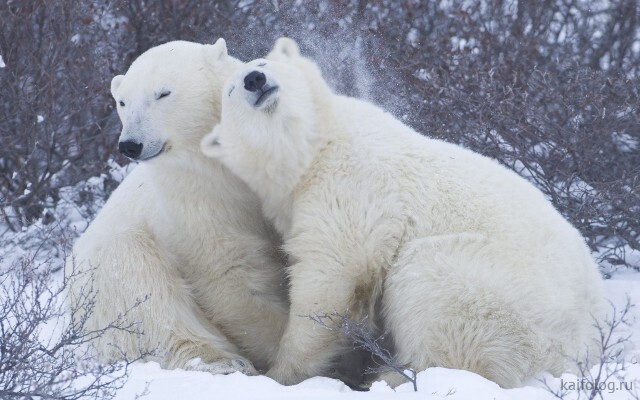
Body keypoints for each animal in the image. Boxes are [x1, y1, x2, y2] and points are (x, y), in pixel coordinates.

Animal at [64, 39, 288, 376]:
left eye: (163, 93)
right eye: (123, 102)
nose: (131, 144)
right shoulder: (194, 201)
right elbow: (231, 275)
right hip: (104, 282)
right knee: (143, 287)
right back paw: (221, 362)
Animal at [202, 38, 608, 388]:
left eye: (263, 63)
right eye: (231, 91)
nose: (255, 80)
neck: (315, 149)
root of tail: (584, 346)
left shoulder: (351, 186)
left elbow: (331, 276)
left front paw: (281, 374)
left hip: (504, 295)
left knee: (429, 284)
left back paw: (393, 375)